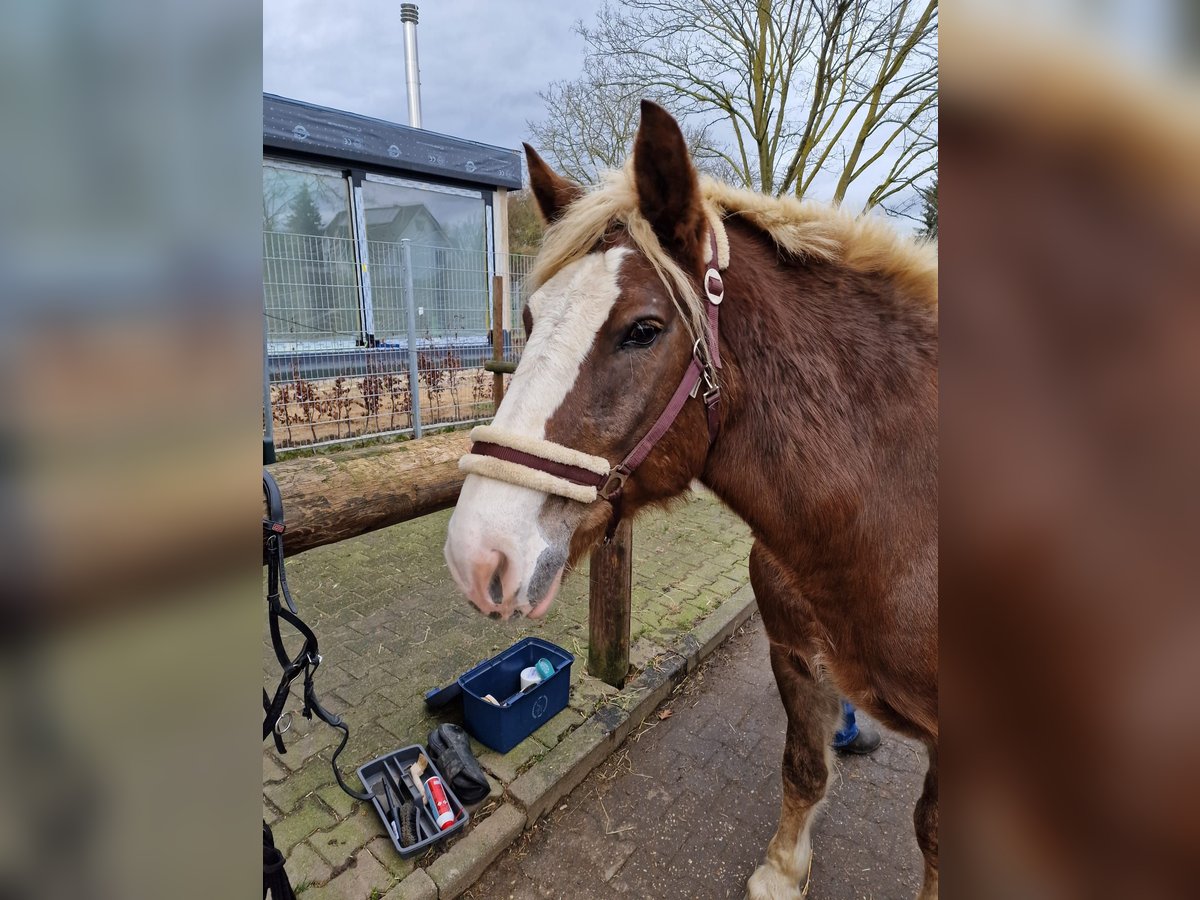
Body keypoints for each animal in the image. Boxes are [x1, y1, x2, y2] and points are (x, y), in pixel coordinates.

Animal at [446, 102, 940, 897]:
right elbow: (802, 768)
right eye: (528, 320)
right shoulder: (795, 657)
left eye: (644, 329)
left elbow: (932, 834)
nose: (478, 552)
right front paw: (782, 872)